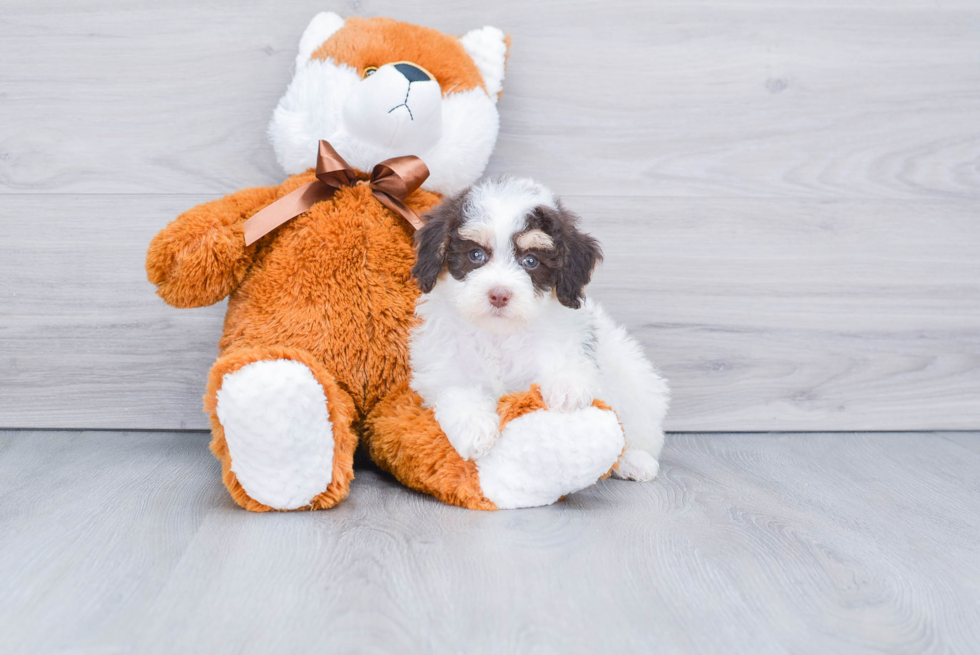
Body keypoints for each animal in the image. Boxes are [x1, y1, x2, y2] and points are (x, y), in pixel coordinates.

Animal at [410, 177, 668, 480]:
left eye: (531, 261)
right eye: (476, 255)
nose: (499, 294)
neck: (500, 334)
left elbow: (568, 363)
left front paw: (566, 387)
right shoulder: (444, 368)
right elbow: (456, 392)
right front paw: (475, 428)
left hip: (635, 383)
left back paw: (635, 460)